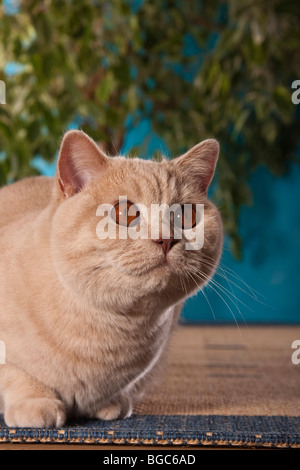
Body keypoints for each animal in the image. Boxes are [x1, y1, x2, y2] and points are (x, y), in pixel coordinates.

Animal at [0, 130, 220, 428]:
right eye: (125, 213)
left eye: (186, 216)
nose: (166, 239)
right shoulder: (10, 361)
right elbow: (18, 374)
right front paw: (36, 403)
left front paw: (110, 403)